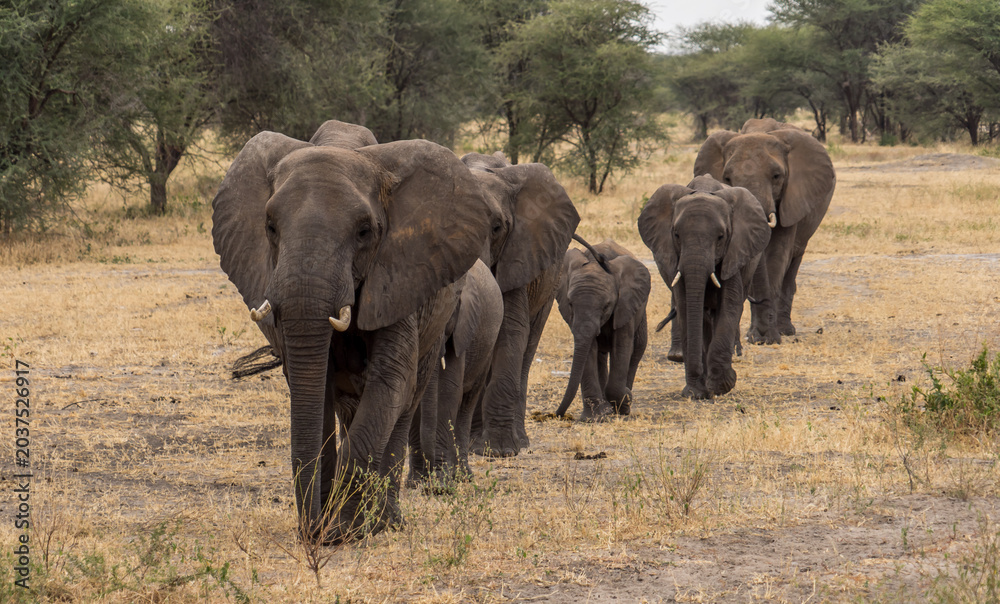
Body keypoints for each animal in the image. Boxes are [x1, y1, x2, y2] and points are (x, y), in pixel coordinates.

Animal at [407, 258, 504, 484]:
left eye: (446, 316)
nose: (431, 474)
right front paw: (416, 481)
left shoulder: (462, 328)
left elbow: (449, 389)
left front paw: (442, 478)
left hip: (486, 350)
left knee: (467, 401)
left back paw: (463, 475)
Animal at [460, 152, 580, 457]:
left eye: (496, 227)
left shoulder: (517, 254)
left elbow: (511, 330)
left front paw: (501, 450)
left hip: (551, 280)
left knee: (528, 346)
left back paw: (518, 442)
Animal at [554, 236, 650, 421]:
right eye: (570, 303)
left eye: (607, 306)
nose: (558, 414)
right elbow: (588, 349)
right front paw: (595, 418)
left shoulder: (624, 305)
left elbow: (622, 347)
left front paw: (625, 401)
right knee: (600, 356)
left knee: (637, 350)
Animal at [638, 175, 771, 399]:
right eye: (676, 235)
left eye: (721, 236)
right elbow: (686, 307)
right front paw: (696, 392)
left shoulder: (735, 250)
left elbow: (729, 304)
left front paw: (722, 385)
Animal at [694, 118, 835, 345]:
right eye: (727, 178)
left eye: (777, 176)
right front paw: (755, 338)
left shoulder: (791, 198)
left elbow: (777, 256)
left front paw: (767, 339)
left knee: (793, 262)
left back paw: (786, 331)